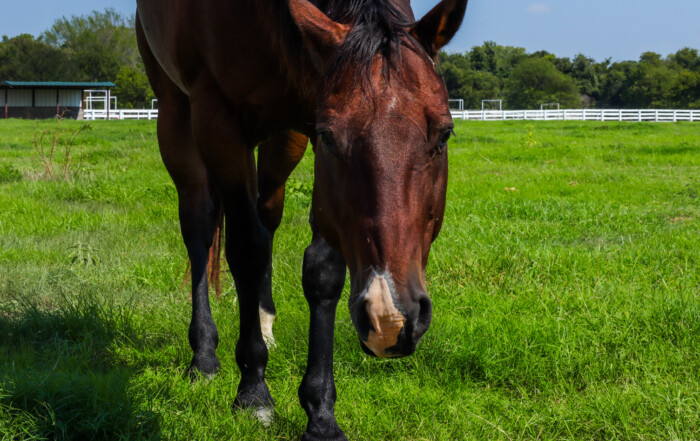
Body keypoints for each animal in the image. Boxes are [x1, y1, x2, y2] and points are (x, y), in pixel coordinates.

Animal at [135, 0, 464, 436]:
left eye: (444, 134)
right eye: (330, 137)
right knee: (200, 229)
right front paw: (253, 393)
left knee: (266, 216)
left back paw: (263, 321)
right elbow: (245, 250)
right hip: (176, 114)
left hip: (282, 140)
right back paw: (204, 356)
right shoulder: (220, 122)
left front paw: (321, 414)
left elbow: (322, 271)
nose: (389, 318)